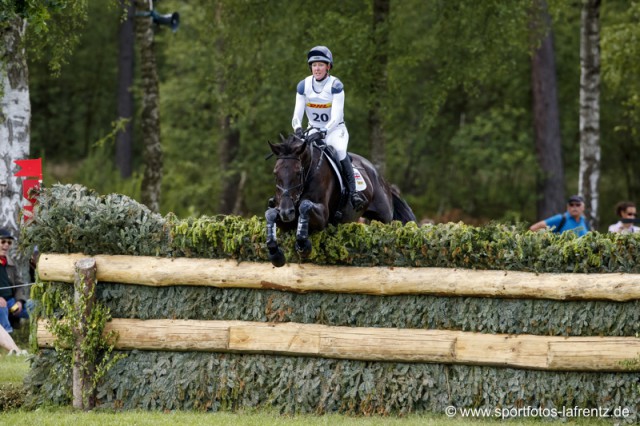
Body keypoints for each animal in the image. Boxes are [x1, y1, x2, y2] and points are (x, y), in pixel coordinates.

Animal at [264, 133, 416, 266]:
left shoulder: (322, 217)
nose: (286, 212)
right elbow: (270, 213)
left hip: (384, 218)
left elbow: (305, 206)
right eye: (275, 173)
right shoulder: (286, 220)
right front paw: (275, 254)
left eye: (298, 172)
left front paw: (303, 244)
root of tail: (381, 178)